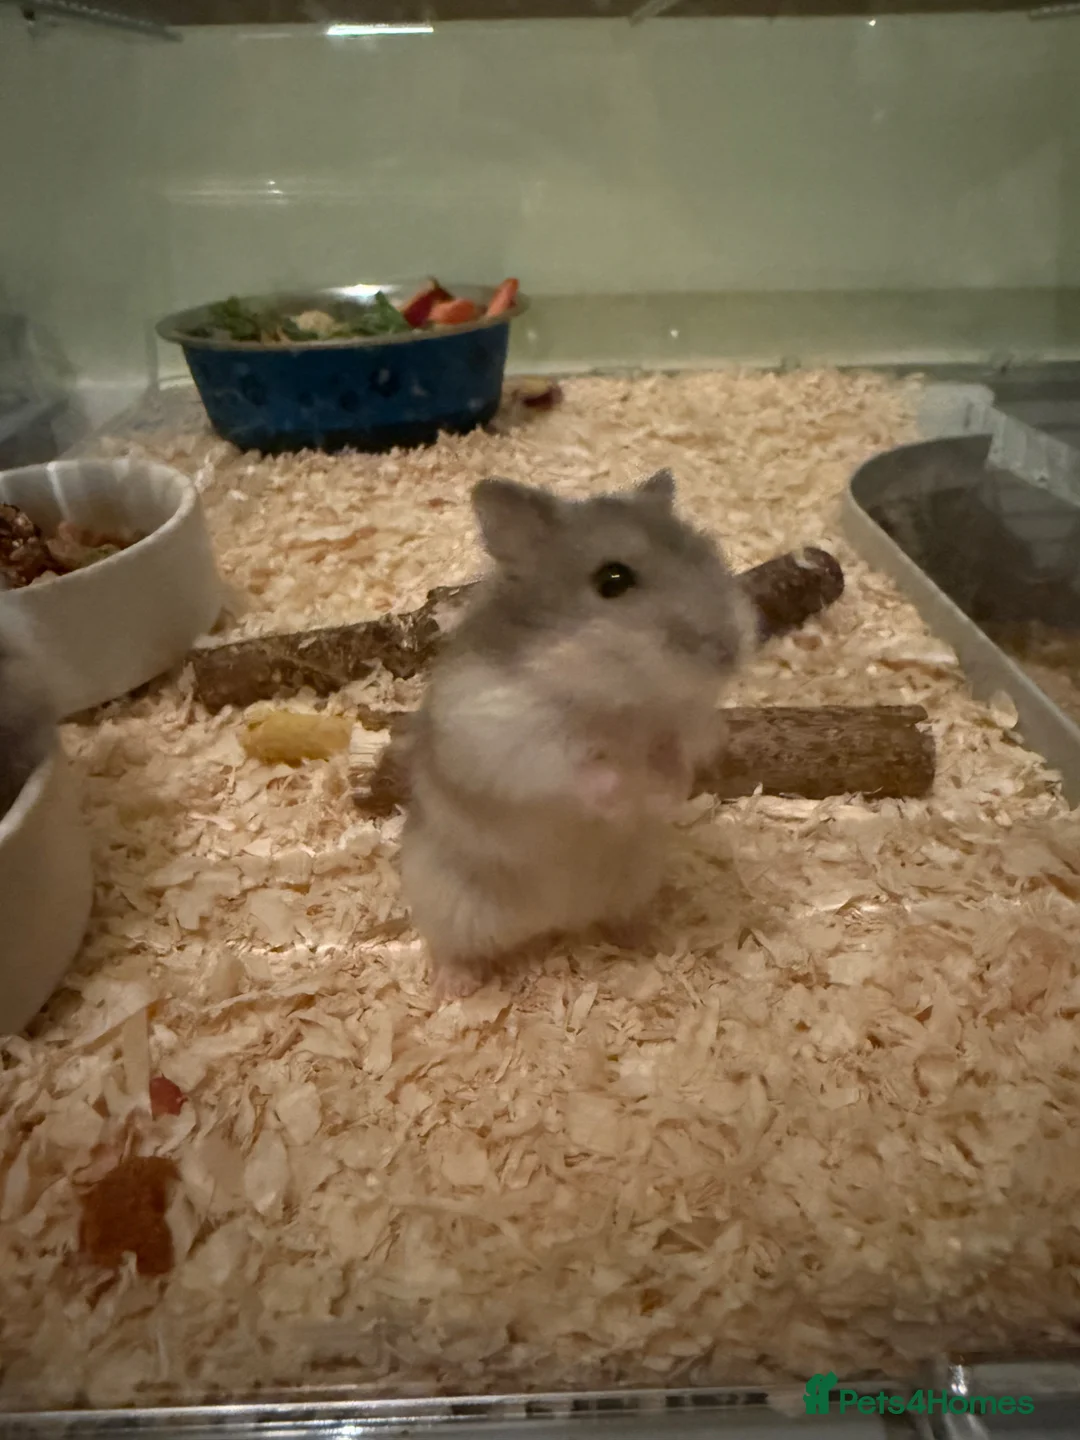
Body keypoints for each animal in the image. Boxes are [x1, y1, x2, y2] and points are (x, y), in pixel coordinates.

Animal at [399, 468, 755, 1000]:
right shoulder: (507, 740)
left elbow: (676, 755)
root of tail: (554, 921)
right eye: (613, 580)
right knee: (451, 947)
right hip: (447, 902)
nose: (729, 652)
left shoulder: (687, 727)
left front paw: (663, 792)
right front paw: (620, 793)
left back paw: (650, 939)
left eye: (709, 553)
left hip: (635, 881)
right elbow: (577, 770)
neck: (613, 698)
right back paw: (454, 987)